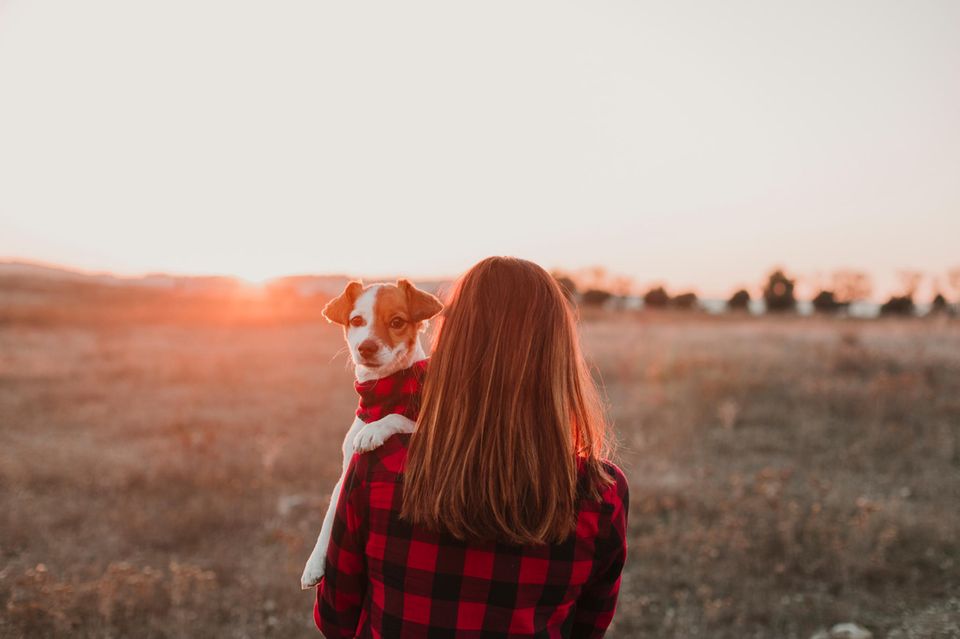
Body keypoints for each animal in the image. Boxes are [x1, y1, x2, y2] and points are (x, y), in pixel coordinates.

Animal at [300, 278, 442, 592]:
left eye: (397, 322)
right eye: (356, 321)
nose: (366, 347)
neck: (382, 394)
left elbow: (396, 418)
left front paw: (373, 431)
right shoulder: (345, 473)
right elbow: (329, 516)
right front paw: (314, 563)